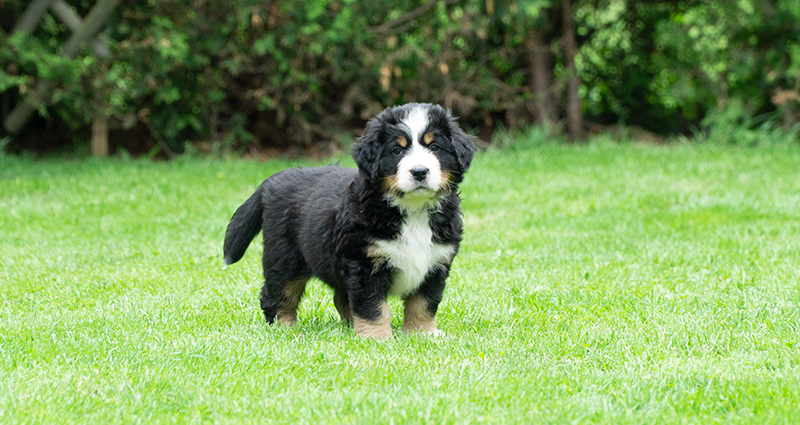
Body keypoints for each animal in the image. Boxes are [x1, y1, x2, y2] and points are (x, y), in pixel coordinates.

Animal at [223, 102, 476, 338]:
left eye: (435, 147)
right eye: (397, 151)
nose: (420, 171)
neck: (413, 210)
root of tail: (273, 180)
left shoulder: (435, 262)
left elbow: (424, 304)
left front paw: (423, 334)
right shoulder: (364, 263)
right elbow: (373, 307)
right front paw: (378, 337)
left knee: (340, 297)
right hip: (284, 259)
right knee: (278, 294)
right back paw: (284, 328)